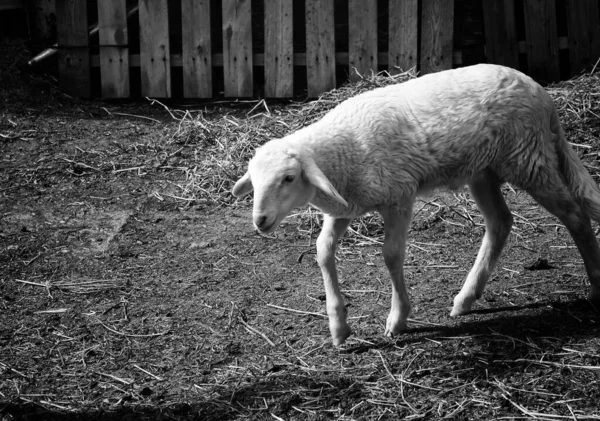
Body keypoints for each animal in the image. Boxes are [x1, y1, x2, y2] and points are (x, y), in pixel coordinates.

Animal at [232, 63, 600, 344]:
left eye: (288, 178)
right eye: (254, 179)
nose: (260, 220)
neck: (342, 153)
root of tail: (542, 93)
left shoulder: (399, 197)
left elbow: (391, 255)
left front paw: (398, 319)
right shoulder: (346, 206)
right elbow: (323, 251)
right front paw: (338, 327)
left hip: (529, 158)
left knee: (575, 214)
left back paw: (595, 284)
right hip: (483, 170)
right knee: (500, 222)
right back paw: (466, 298)